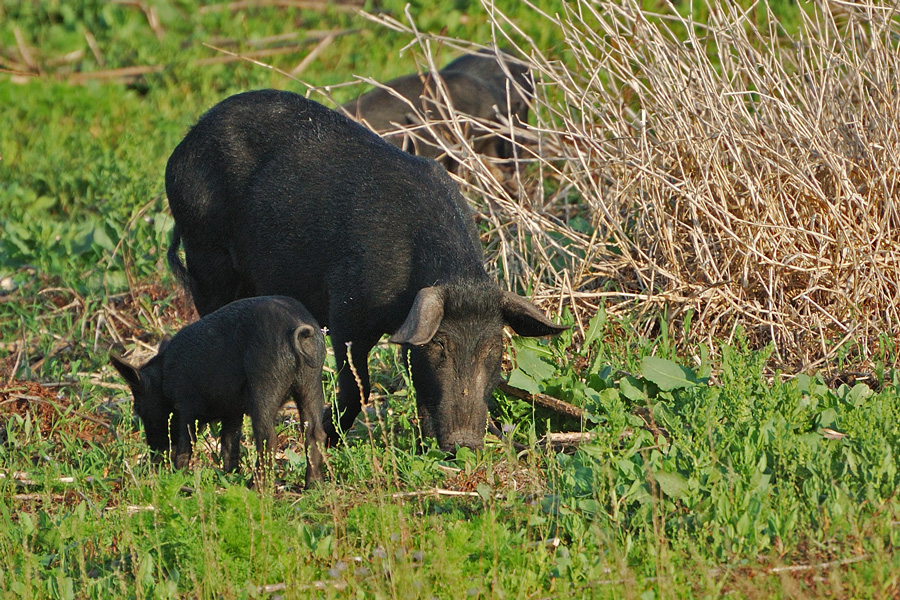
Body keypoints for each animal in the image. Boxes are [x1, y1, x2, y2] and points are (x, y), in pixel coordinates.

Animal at [108, 296, 326, 488]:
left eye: (138, 408)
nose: (154, 459)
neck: (163, 381)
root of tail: (296, 326)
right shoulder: (232, 411)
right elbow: (229, 444)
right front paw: (230, 476)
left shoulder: (186, 406)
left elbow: (186, 445)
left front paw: (178, 476)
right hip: (311, 382)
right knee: (314, 431)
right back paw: (314, 486)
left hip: (265, 384)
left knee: (267, 438)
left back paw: (257, 488)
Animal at [165, 90, 568, 450]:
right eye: (440, 344)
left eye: (493, 347)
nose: (465, 443)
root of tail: (181, 147)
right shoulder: (346, 312)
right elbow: (358, 387)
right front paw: (326, 438)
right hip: (205, 254)